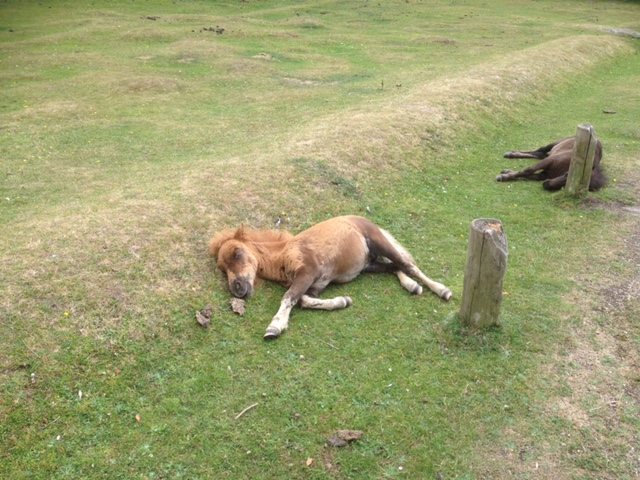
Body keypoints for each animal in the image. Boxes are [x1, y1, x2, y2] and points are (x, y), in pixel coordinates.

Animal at [209, 216, 450, 340]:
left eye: (237, 253)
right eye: (222, 268)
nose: (237, 288)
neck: (284, 255)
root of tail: (363, 219)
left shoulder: (308, 272)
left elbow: (289, 297)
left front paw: (274, 327)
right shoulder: (316, 286)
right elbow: (305, 300)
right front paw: (344, 301)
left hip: (378, 242)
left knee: (408, 264)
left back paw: (442, 290)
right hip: (368, 264)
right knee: (395, 267)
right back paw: (412, 286)